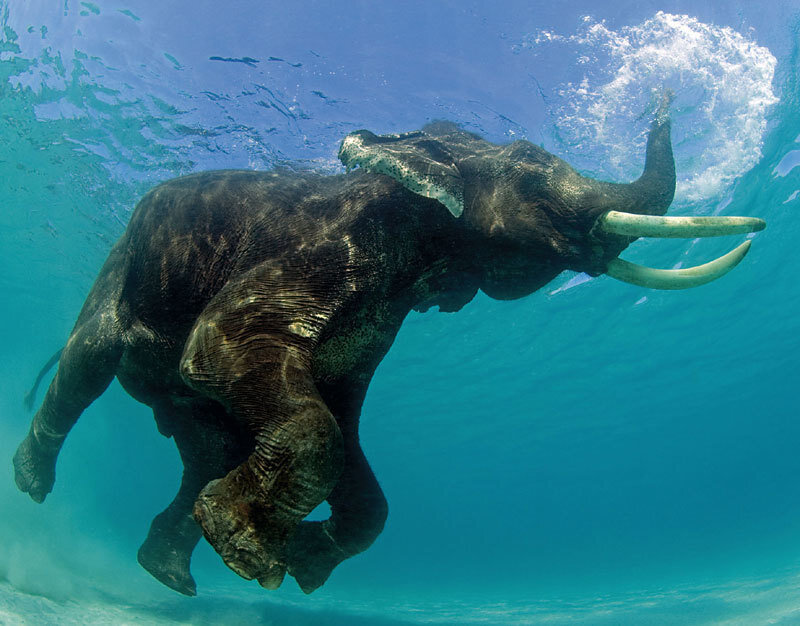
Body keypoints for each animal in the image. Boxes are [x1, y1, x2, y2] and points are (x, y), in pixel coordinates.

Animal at [13, 95, 764, 596]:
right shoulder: (316, 255)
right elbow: (225, 352)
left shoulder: (381, 319)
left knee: (206, 448)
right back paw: (33, 484)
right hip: (118, 267)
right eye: (532, 172)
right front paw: (255, 558)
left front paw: (299, 559)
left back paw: (168, 573)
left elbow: (347, 435)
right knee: (87, 364)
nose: (666, 90)